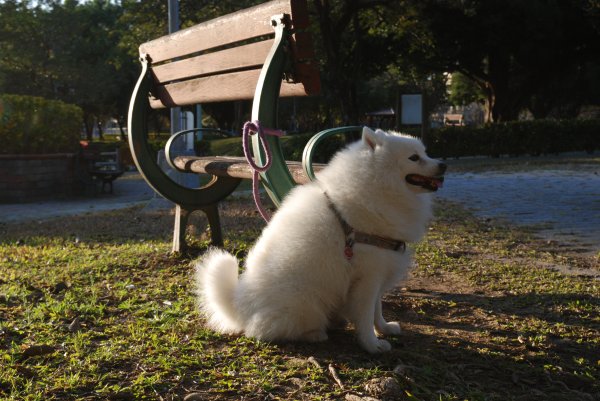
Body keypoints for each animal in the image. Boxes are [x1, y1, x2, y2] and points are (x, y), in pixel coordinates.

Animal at [192, 126, 446, 352]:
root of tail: (239, 309)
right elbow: (365, 315)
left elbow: (377, 309)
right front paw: (371, 345)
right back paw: (315, 334)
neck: (375, 186)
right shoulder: (367, 277)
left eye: (425, 153)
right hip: (305, 301)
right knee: (266, 331)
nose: (443, 164)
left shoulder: (379, 272)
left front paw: (384, 328)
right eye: (414, 157)